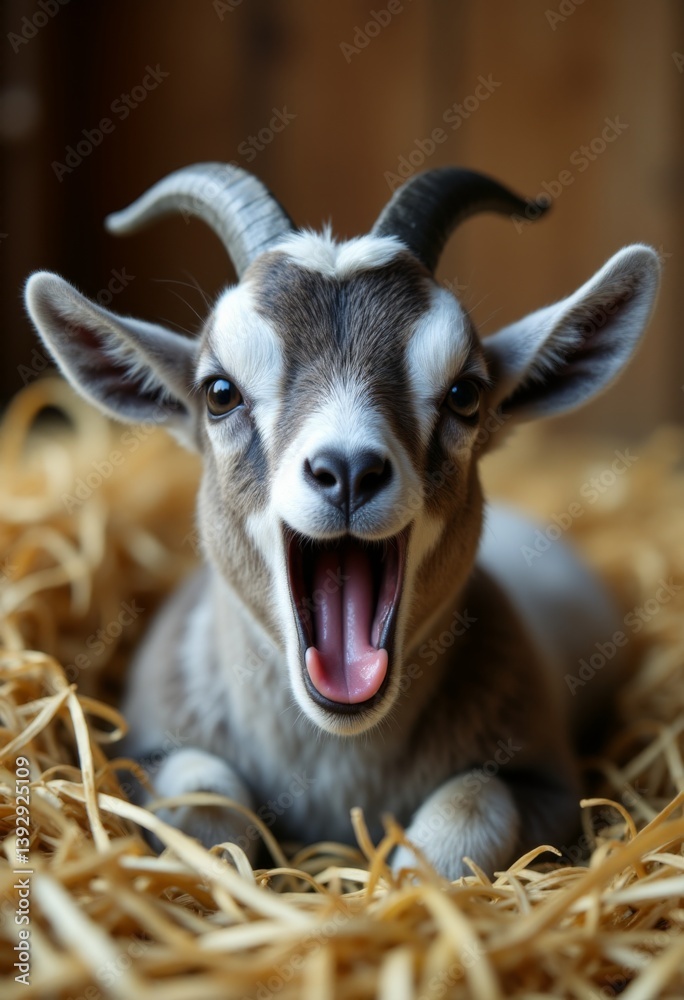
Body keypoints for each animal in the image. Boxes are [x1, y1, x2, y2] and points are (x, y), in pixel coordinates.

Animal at [25, 164, 660, 879]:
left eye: (464, 393)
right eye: (219, 392)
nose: (349, 469)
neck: (336, 758)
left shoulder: (548, 785)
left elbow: (470, 804)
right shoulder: (149, 751)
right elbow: (205, 801)